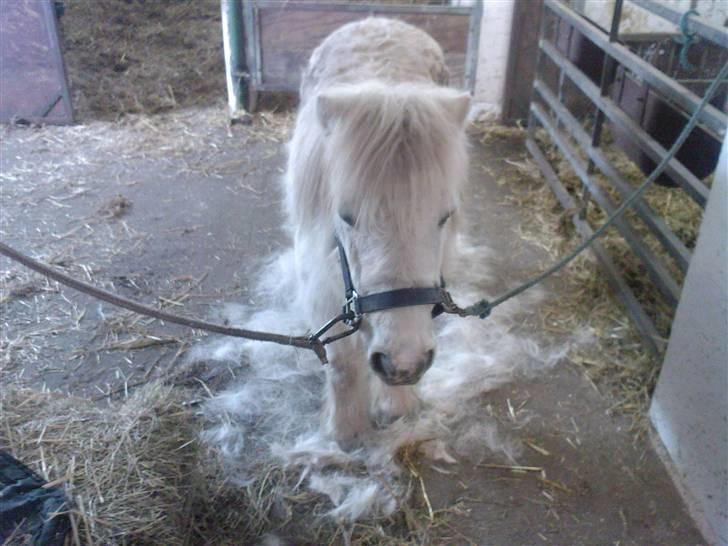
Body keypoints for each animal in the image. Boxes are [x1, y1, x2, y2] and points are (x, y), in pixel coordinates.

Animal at [282, 19, 470, 448]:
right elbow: (343, 363)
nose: (404, 363)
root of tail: (377, 21)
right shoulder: (321, 283)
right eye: (346, 217)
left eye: (444, 216)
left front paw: (397, 408)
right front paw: (346, 432)